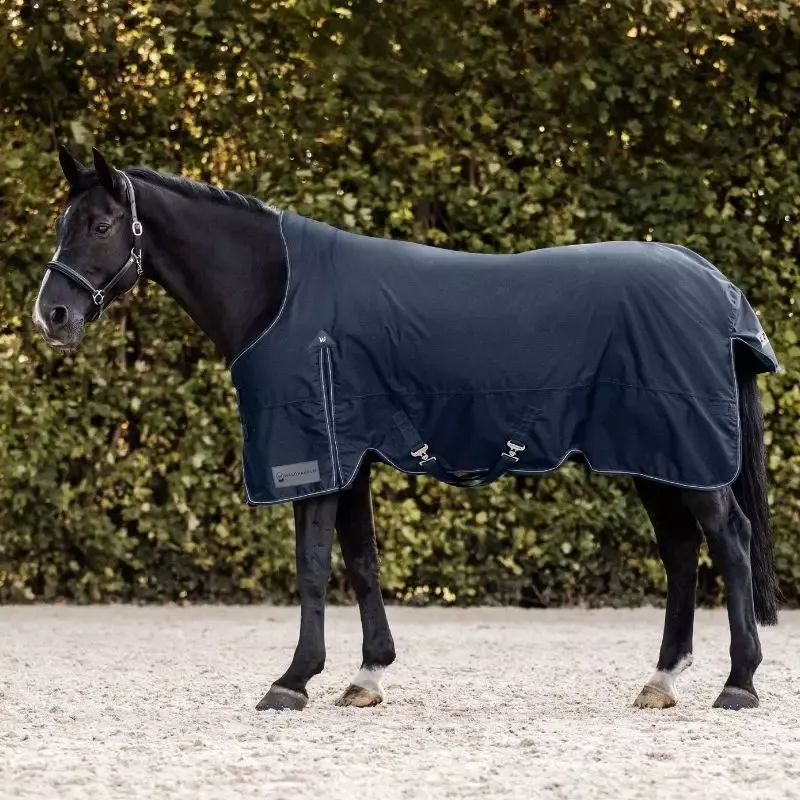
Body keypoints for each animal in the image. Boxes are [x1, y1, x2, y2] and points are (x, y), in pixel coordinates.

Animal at [32, 146, 780, 712]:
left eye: (101, 223)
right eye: (65, 220)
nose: (52, 315)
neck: (281, 294)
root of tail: (716, 285)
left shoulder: (314, 458)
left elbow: (312, 567)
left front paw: (292, 680)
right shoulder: (351, 457)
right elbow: (361, 561)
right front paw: (367, 675)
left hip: (684, 452)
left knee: (729, 540)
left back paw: (739, 682)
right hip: (655, 455)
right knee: (681, 551)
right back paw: (661, 680)